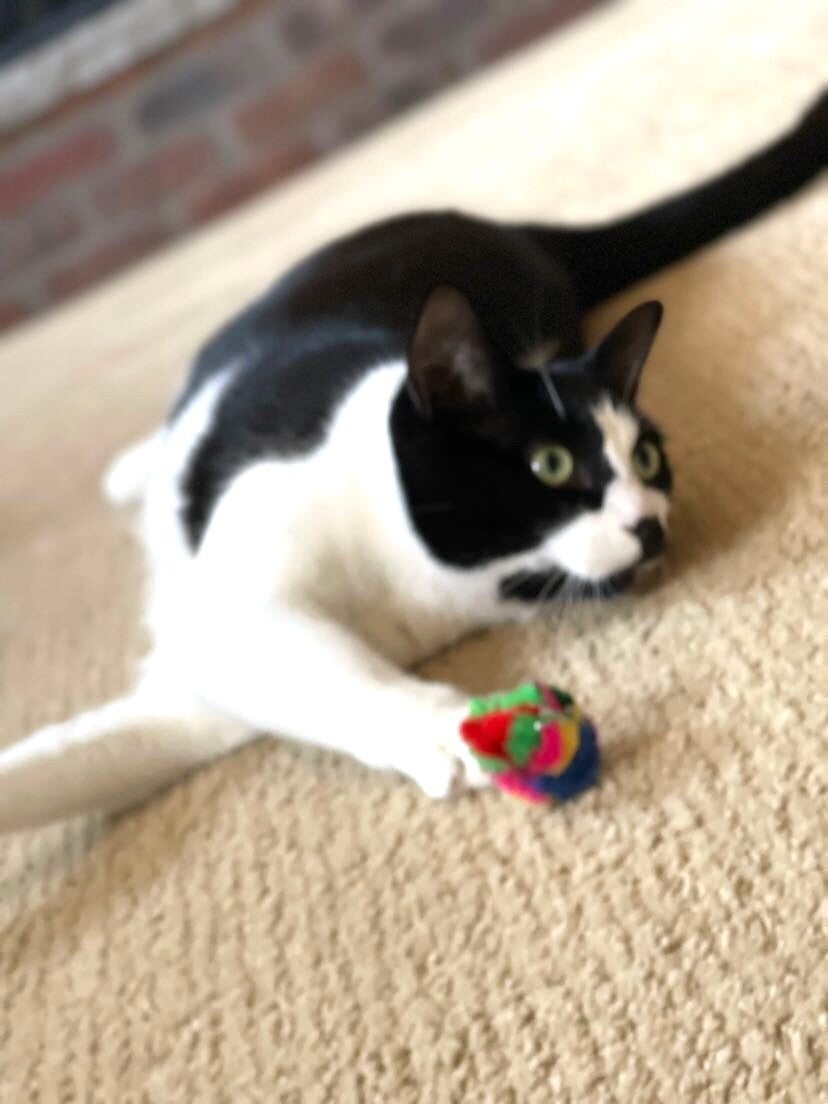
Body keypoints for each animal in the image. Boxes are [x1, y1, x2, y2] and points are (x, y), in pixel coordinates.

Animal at [1, 92, 824, 831]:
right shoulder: (237, 599)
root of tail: (509, 232)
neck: (410, 587)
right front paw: (443, 726)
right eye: (552, 465)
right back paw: (135, 468)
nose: (650, 522)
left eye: (648, 459)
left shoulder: (206, 683)